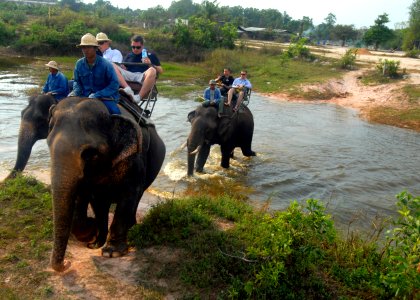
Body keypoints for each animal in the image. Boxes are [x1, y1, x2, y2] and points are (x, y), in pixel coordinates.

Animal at [46, 96, 164, 272]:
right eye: (48, 144)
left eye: (89, 154)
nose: (67, 263)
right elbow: (95, 199)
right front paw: (93, 238)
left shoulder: (136, 159)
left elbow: (129, 193)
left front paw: (112, 253)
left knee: (138, 196)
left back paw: (131, 227)